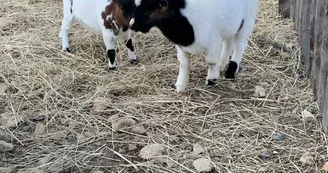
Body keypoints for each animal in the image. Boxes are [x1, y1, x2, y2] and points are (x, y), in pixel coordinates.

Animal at [117, 0, 258, 92]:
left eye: (148, 9)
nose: (132, 25)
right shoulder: (182, 47)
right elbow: (183, 64)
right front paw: (180, 85)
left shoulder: (212, 42)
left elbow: (211, 62)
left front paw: (211, 81)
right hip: (231, 26)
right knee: (228, 43)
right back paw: (222, 66)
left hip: (247, 21)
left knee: (239, 46)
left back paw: (230, 72)